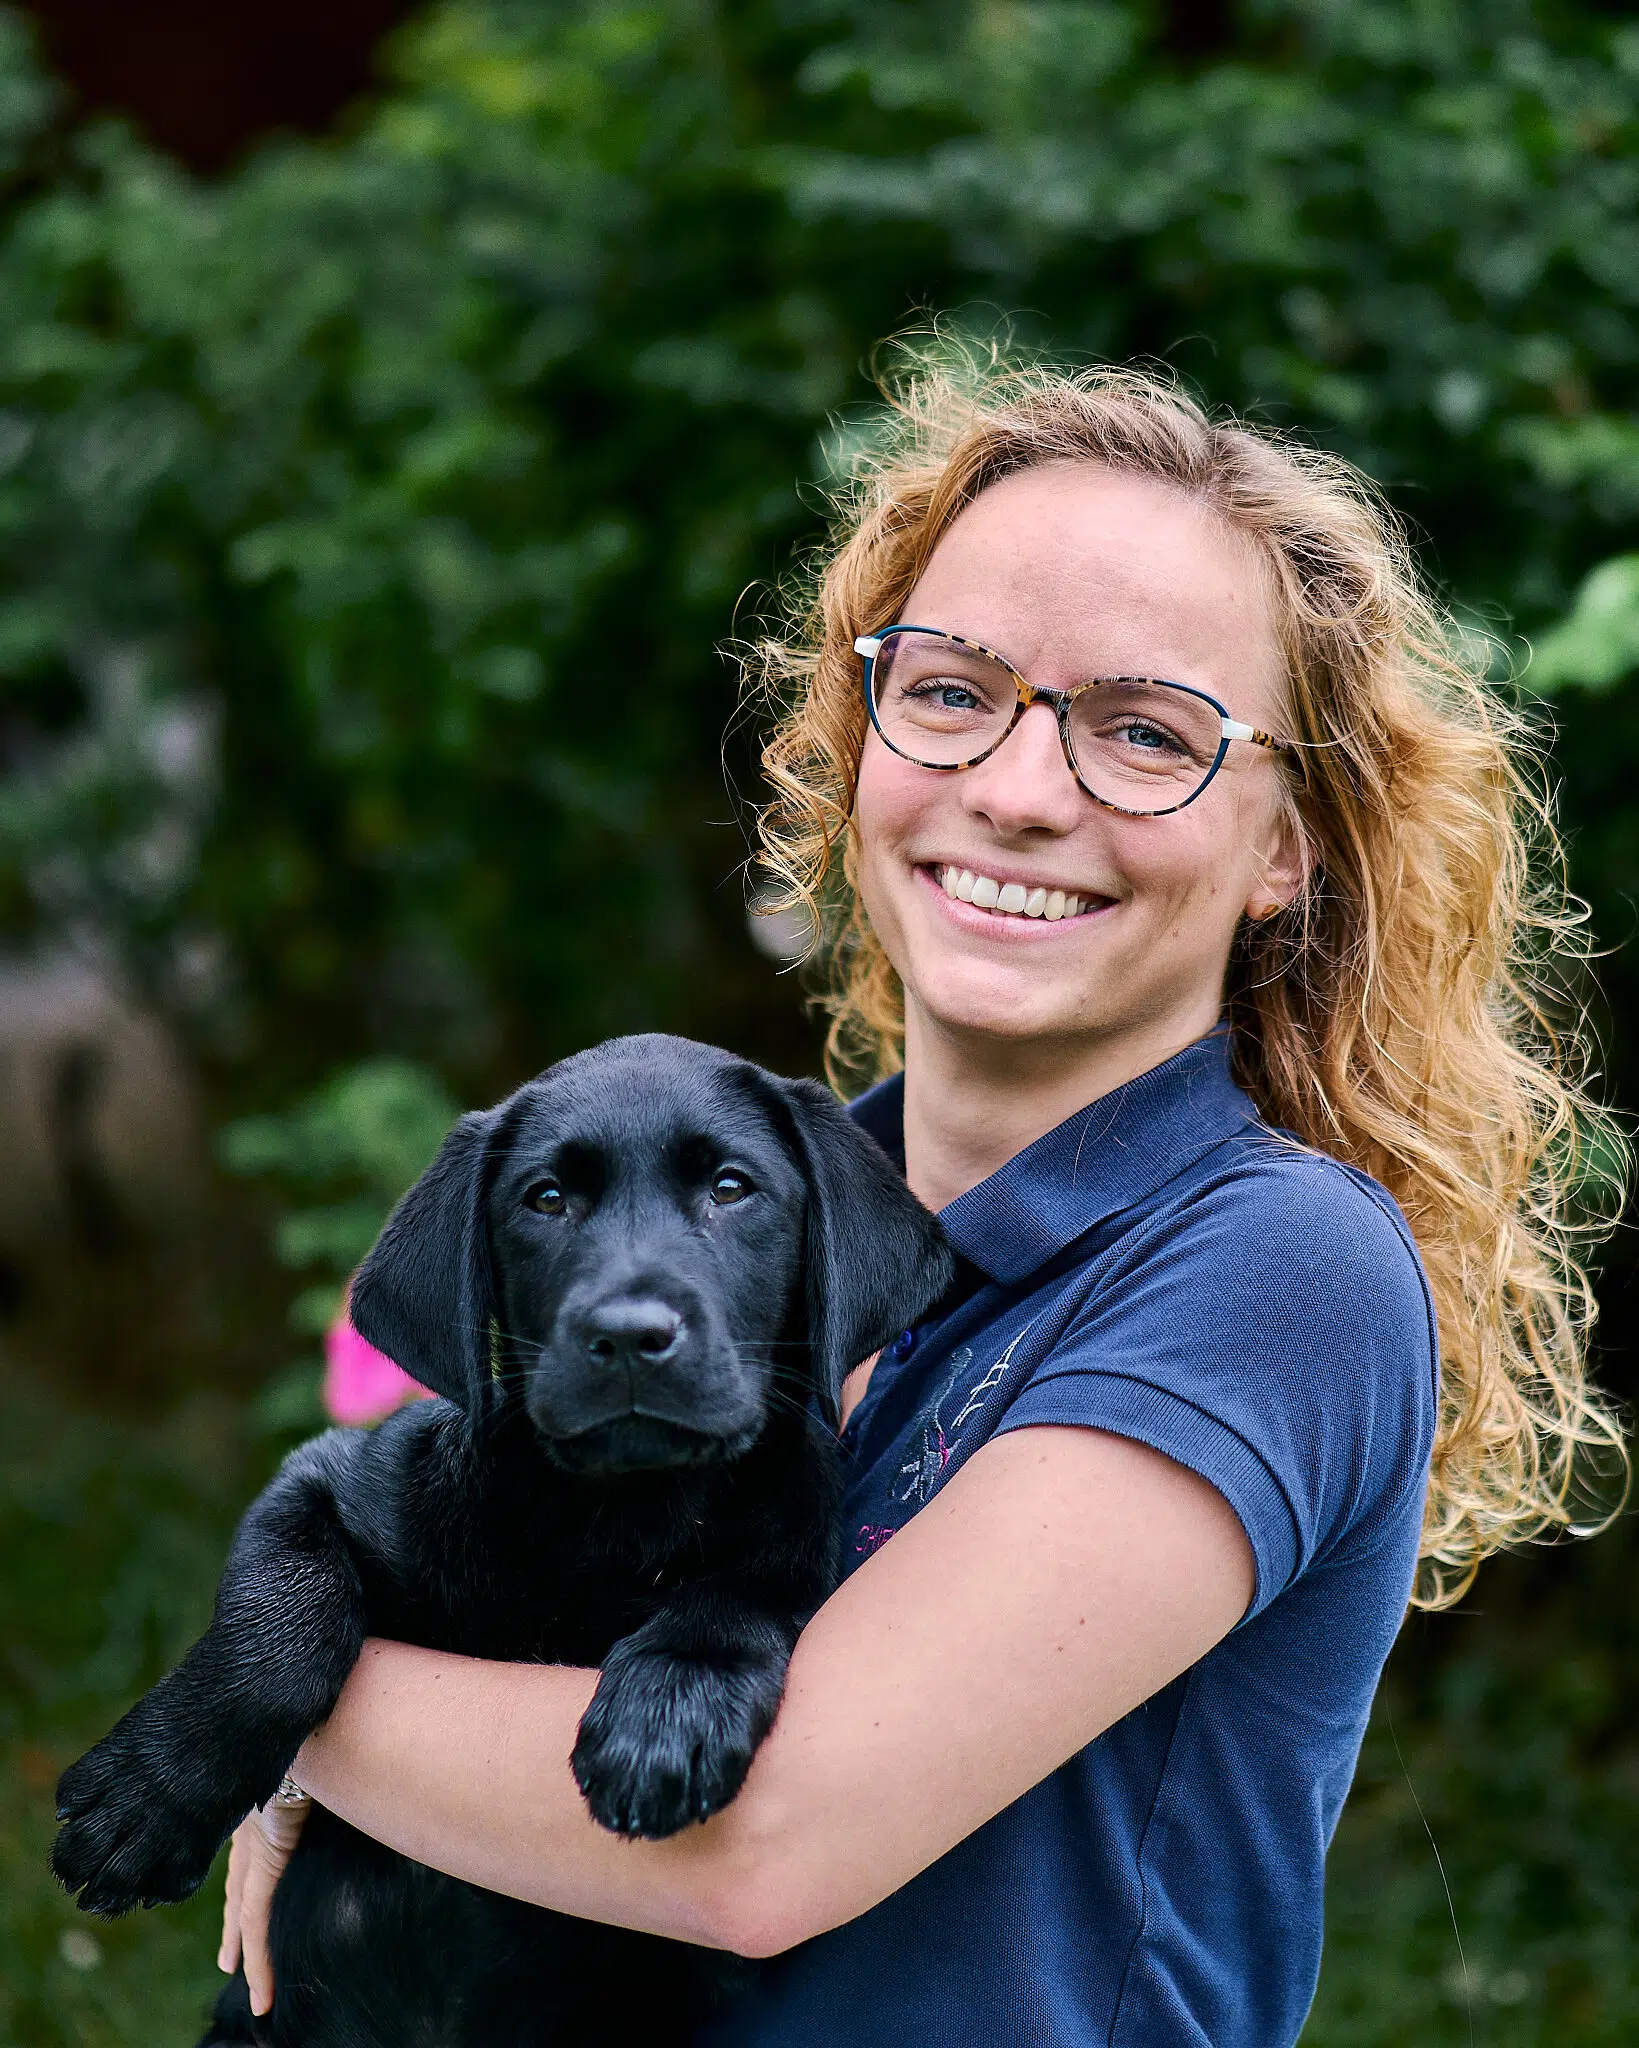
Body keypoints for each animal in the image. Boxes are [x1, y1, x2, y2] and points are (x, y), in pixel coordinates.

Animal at [51, 1040, 946, 2048]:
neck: (620, 1518)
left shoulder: (791, 1545)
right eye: (545, 1199)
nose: (628, 1336)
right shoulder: (321, 1480)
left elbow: (741, 1598)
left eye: (730, 1188)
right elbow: (281, 1625)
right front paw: (147, 1804)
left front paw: (663, 1719)